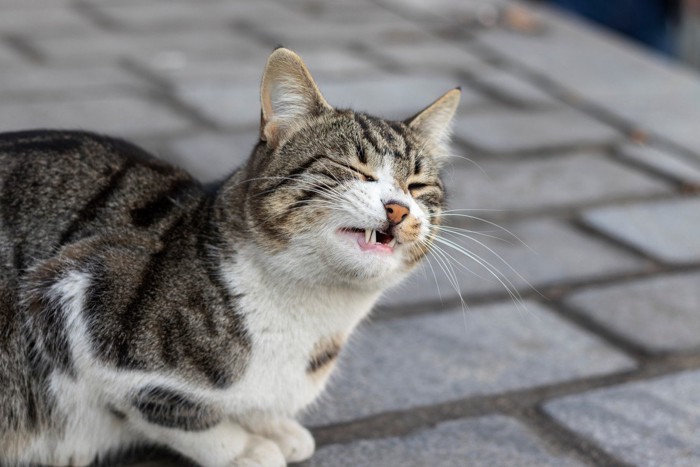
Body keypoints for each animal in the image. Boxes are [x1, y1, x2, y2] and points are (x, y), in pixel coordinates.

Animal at [0, 48, 462, 467]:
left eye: (417, 186)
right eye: (352, 169)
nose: (397, 209)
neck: (313, 312)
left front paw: (270, 424)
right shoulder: (75, 301)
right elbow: (170, 412)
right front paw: (243, 446)